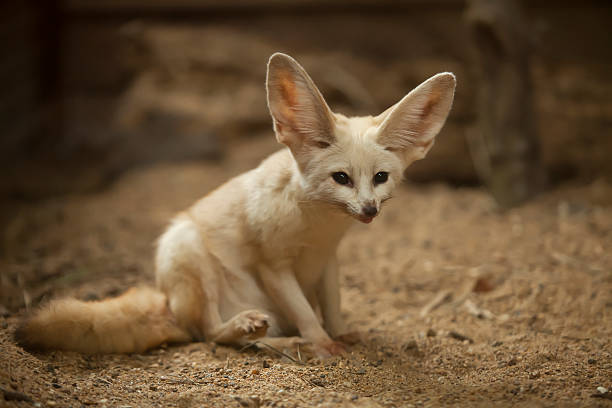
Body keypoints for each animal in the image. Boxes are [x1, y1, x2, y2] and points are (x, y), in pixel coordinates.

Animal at [15, 53, 454, 356]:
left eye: (380, 178)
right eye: (341, 178)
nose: (369, 210)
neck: (317, 228)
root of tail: (168, 305)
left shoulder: (328, 260)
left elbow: (332, 305)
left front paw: (341, 332)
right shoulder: (273, 267)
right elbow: (306, 313)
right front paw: (323, 345)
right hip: (188, 251)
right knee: (210, 334)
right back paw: (266, 336)